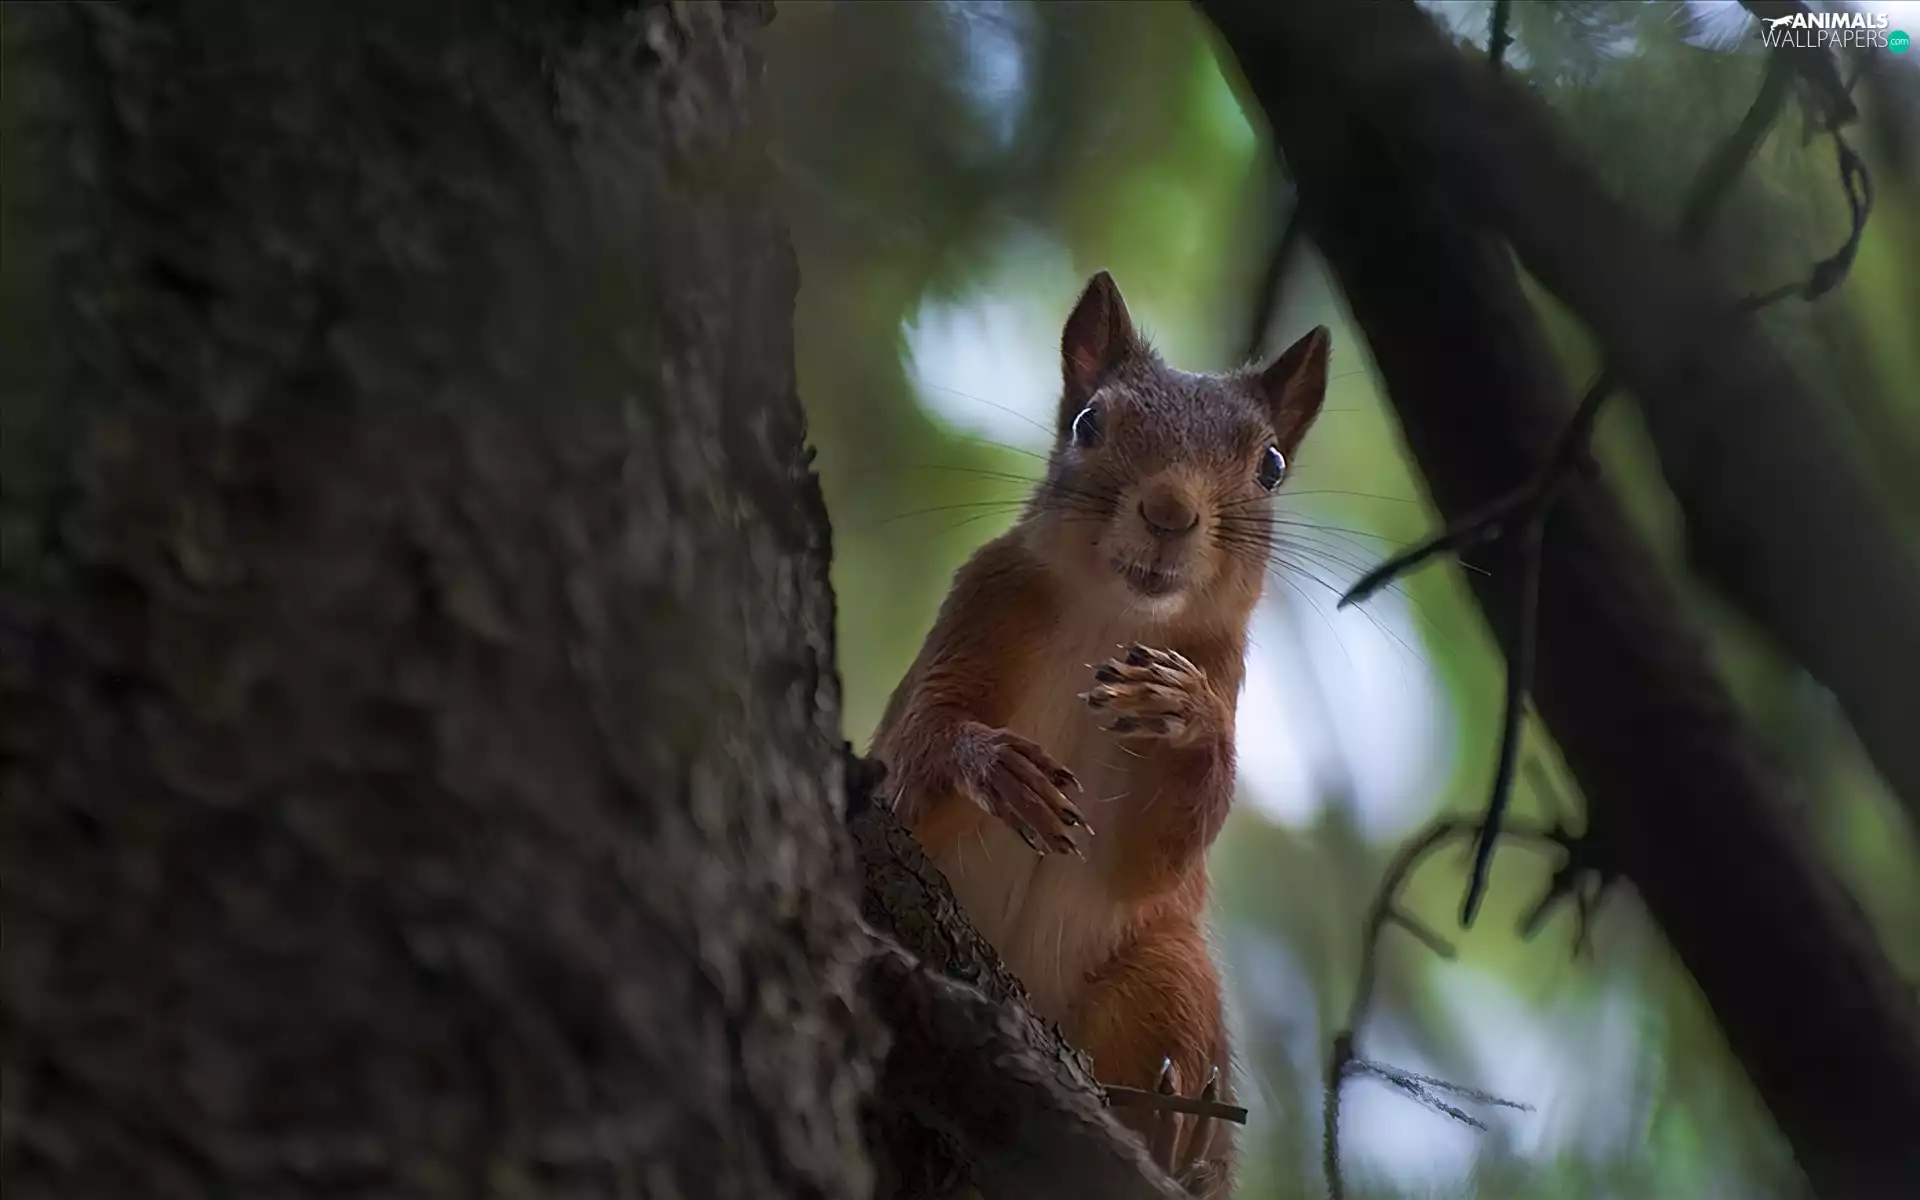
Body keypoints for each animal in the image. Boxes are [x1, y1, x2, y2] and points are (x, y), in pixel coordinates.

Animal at [872, 269, 1329, 1196]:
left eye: (1269, 466)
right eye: (1088, 423)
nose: (1169, 509)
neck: (1114, 616)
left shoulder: (1221, 670)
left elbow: (1155, 855)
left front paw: (1186, 715)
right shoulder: (977, 608)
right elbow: (916, 750)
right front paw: (992, 767)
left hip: (1166, 970)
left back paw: (1170, 1135)